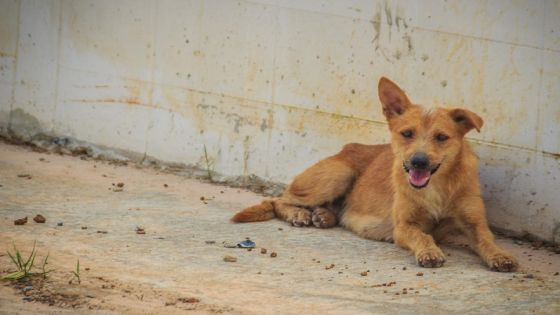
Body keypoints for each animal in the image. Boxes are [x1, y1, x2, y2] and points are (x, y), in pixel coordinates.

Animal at [231, 78, 516, 272]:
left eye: (441, 137)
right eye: (407, 133)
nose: (418, 161)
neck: (437, 186)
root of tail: (346, 148)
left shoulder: (475, 223)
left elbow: (486, 239)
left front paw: (500, 255)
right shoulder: (404, 227)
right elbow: (421, 235)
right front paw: (429, 252)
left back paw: (323, 215)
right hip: (338, 174)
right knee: (277, 200)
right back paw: (299, 214)